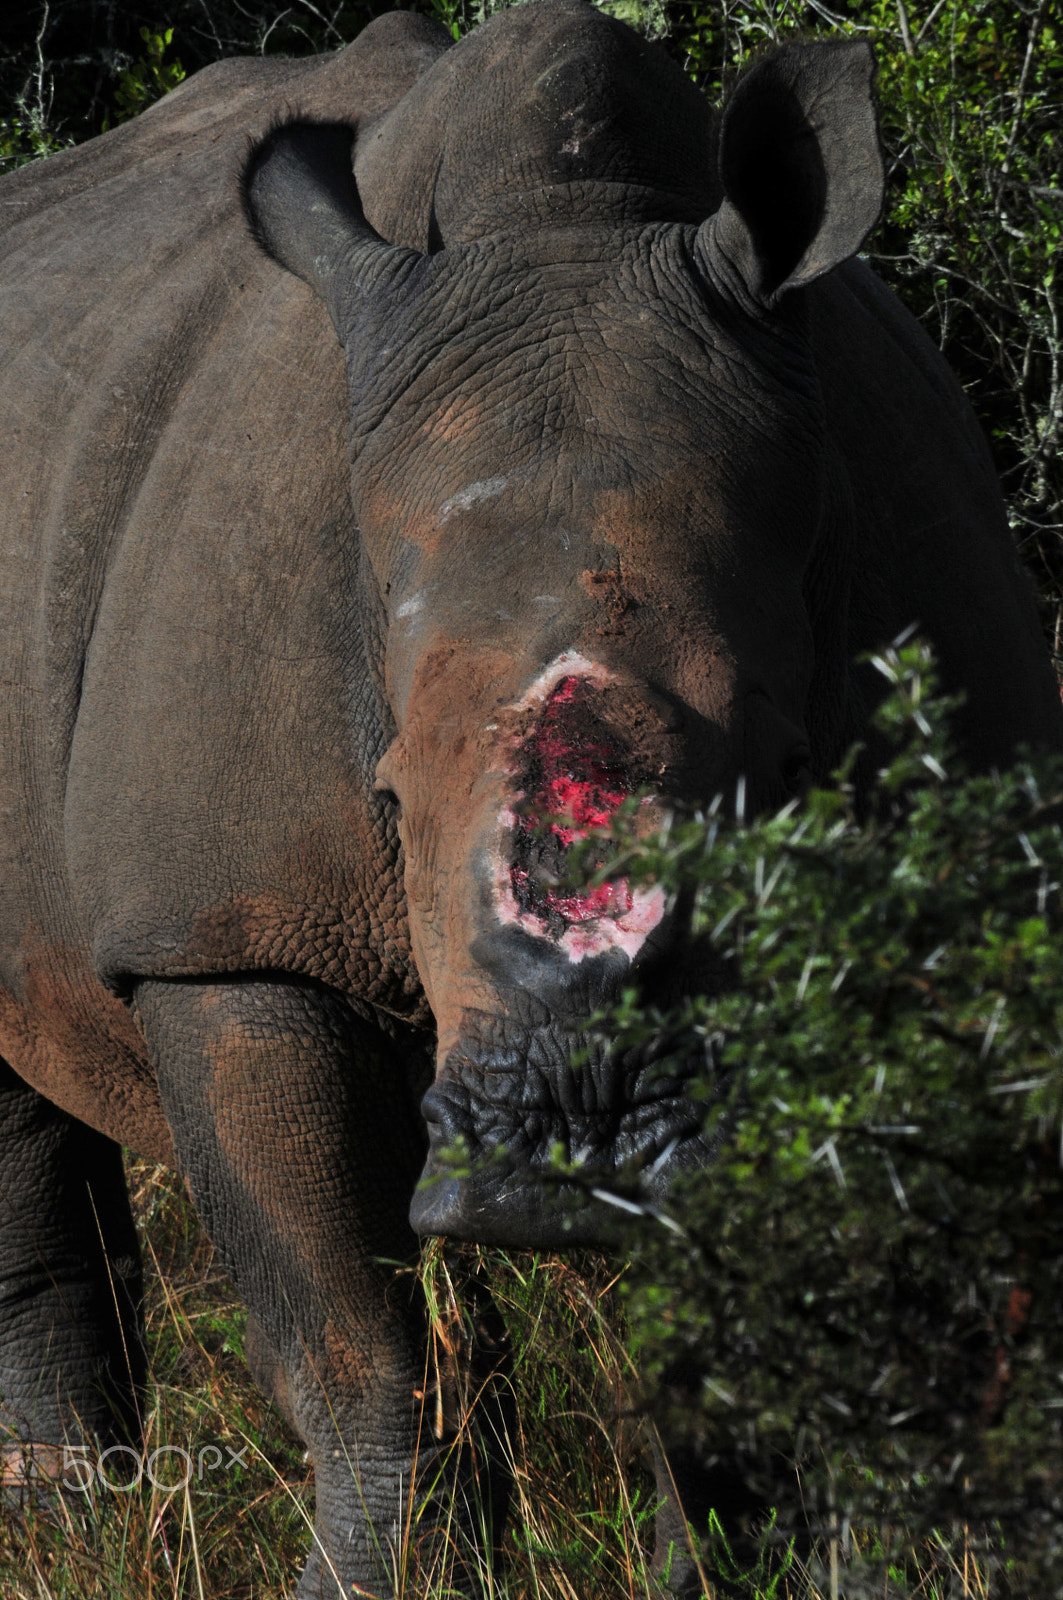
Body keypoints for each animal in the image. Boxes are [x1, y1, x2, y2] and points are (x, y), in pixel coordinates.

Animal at [1, 0, 1060, 1592]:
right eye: (381, 804)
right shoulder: (223, 928)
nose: (563, 1141)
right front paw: (367, 1581)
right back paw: (71, 1532)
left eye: (793, 778)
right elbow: (356, 1339)